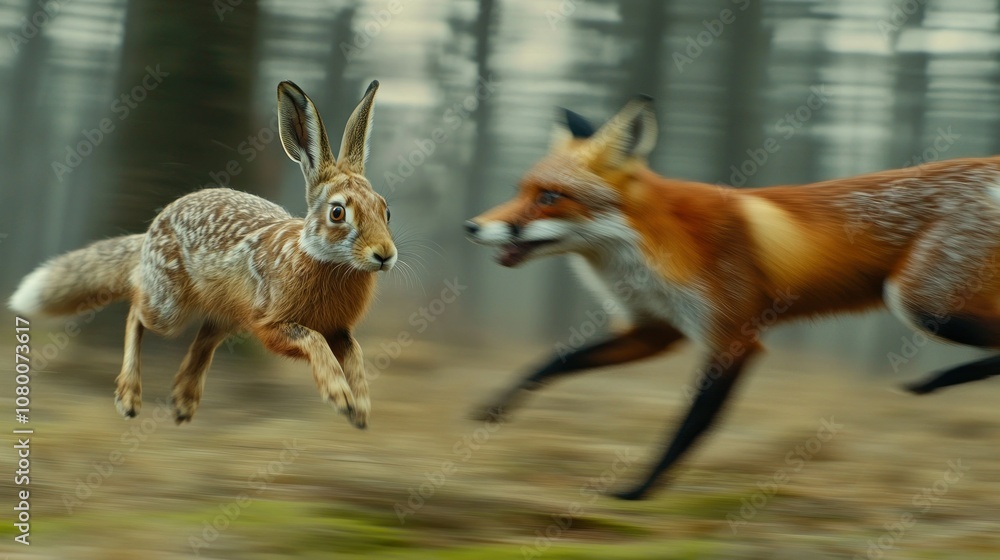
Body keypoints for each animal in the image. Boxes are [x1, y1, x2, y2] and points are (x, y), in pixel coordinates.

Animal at [9, 80, 395, 429]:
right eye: (337, 213)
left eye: (385, 210)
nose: (384, 255)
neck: (322, 258)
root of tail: (152, 230)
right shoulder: (272, 323)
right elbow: (313, 341)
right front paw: (340, 397)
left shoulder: (338, 330)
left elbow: (355, 353)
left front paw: (360, 408)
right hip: (170, 308)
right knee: (136, 312)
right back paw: (130, 398)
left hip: (224, 312)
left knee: (204, 337)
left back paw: (183, 403)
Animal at [464, 95, 1000, 500]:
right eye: (521, 190)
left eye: (549, 197)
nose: (472, 227)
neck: (646, 252)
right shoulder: (654, 331)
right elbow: (554, 361)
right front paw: (496, 406)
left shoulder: (733, 338)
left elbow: (687, 430)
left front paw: (638, 491)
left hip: (920, 304)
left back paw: (934, 381)